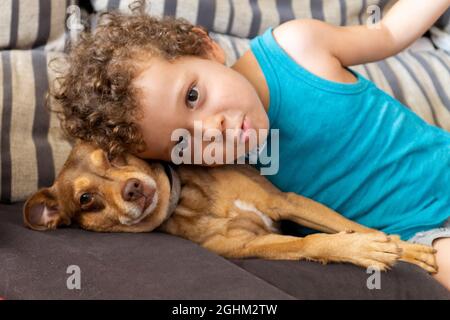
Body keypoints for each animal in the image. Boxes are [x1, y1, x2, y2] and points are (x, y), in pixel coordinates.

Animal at [23, 140, 436, 272]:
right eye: (86, 200)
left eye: (111, 152)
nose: (134, 189)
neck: (187, 199)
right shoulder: (249, 246)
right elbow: (314, 241)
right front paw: (362, 249)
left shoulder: (286, 202)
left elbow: (357, 225)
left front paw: (408, 249)